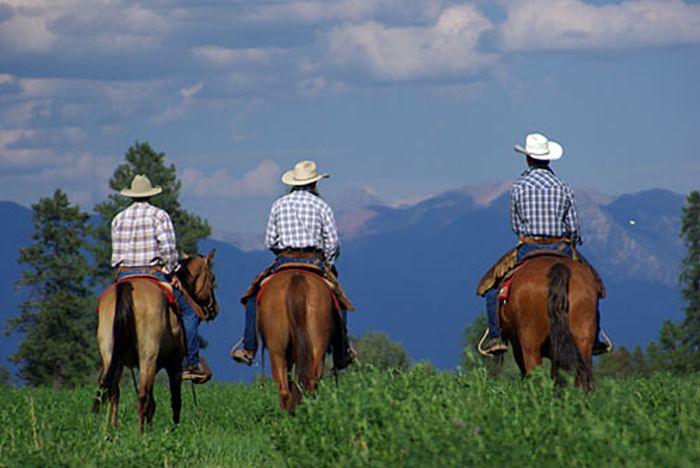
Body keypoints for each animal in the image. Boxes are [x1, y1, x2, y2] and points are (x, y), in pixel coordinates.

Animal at [93, 250, 217, 434]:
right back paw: (140, 434)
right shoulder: (173, 364)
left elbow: (152, 402)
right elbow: (175, 400)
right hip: (148, 358)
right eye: (212, 278)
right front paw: (174, 429)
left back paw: (111, 431)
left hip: (112, 358)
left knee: (113, 393)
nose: (214, 308)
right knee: (141, 396)